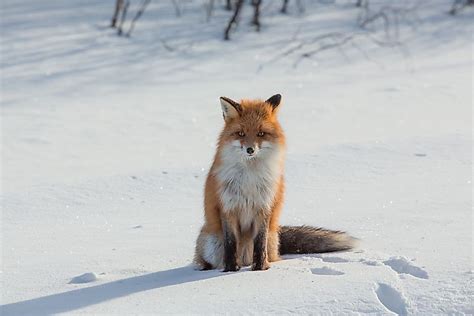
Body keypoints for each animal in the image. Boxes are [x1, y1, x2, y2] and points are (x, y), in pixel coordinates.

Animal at [193, 94, 356, 272]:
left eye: (261, 133)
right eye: (241, 133)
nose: (250, 150)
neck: (250, 176)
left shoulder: (264, 206)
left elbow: (260, 243)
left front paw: (260, 268)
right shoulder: (228, 207)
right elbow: (230, 244)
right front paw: (230, 269)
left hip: (270, 239)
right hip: (212, 244)